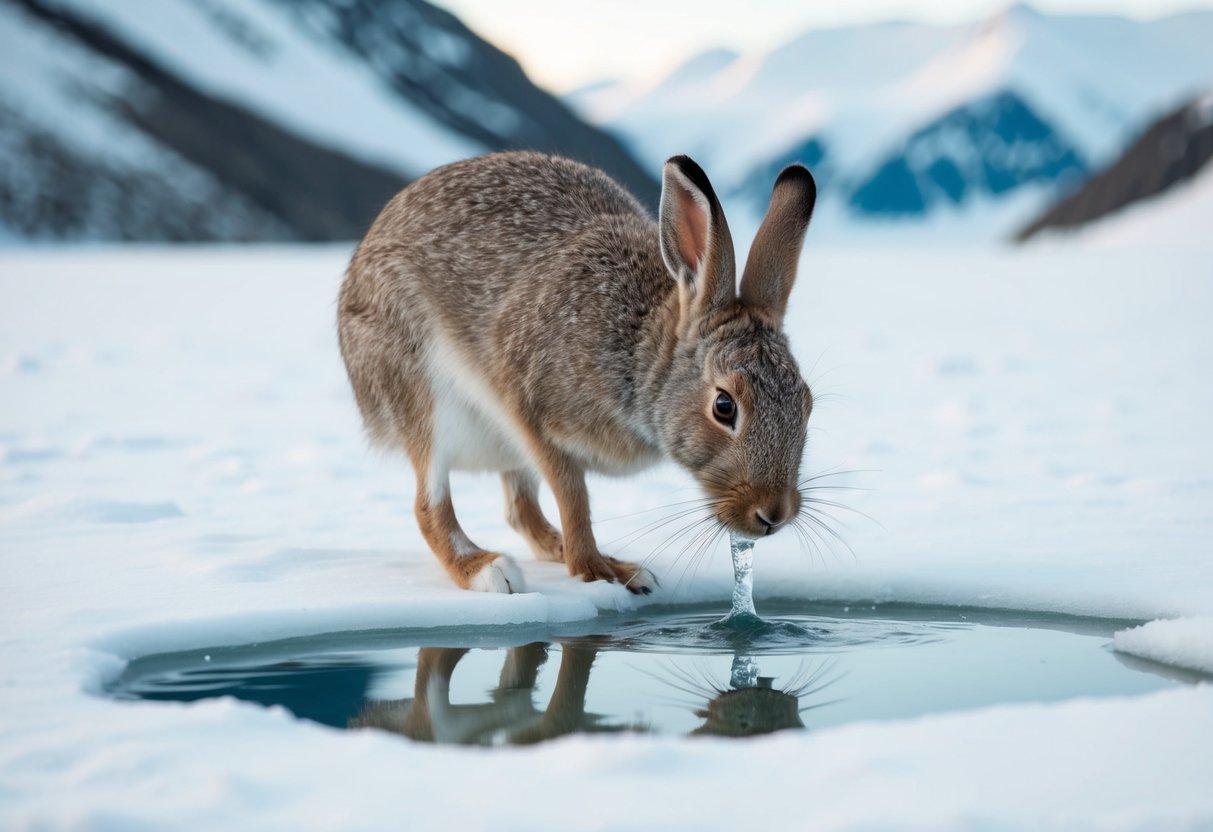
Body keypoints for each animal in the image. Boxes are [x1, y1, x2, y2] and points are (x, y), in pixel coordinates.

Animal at [338, 151, 816, 595]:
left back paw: (555, 549)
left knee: (518, 509)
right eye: (724, 406)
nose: (773, 514)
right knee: (429, 504)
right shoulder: (528, 408)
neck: (640, 353)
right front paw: (600, 571)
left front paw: (608, 566)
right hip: (419, 394)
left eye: (807, 405)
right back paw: (486, 570)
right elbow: (573, 496)